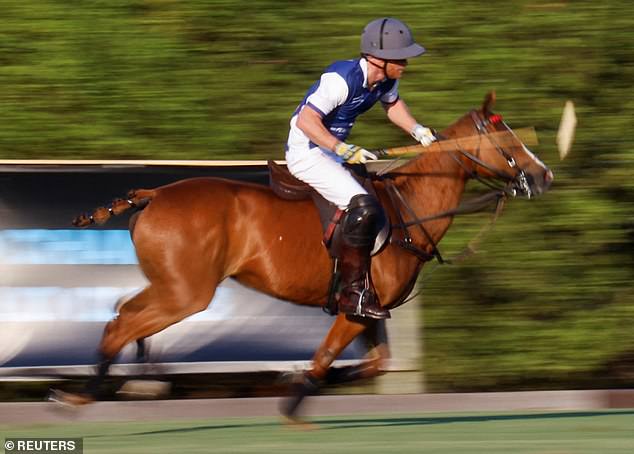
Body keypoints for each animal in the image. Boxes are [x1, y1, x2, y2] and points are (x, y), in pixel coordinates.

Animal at [51, 92, 552, 422]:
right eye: (507, 141)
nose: (543, 175)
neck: (408, 207)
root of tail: (153, 193)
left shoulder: (367, 309)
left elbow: (371, 362)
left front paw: (291, 381)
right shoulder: (356, 309)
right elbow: (327, 355)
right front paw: (293, 398)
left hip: (171, 285)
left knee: (121, 310)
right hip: (187, 292)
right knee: (121, 323)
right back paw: (82, 395)